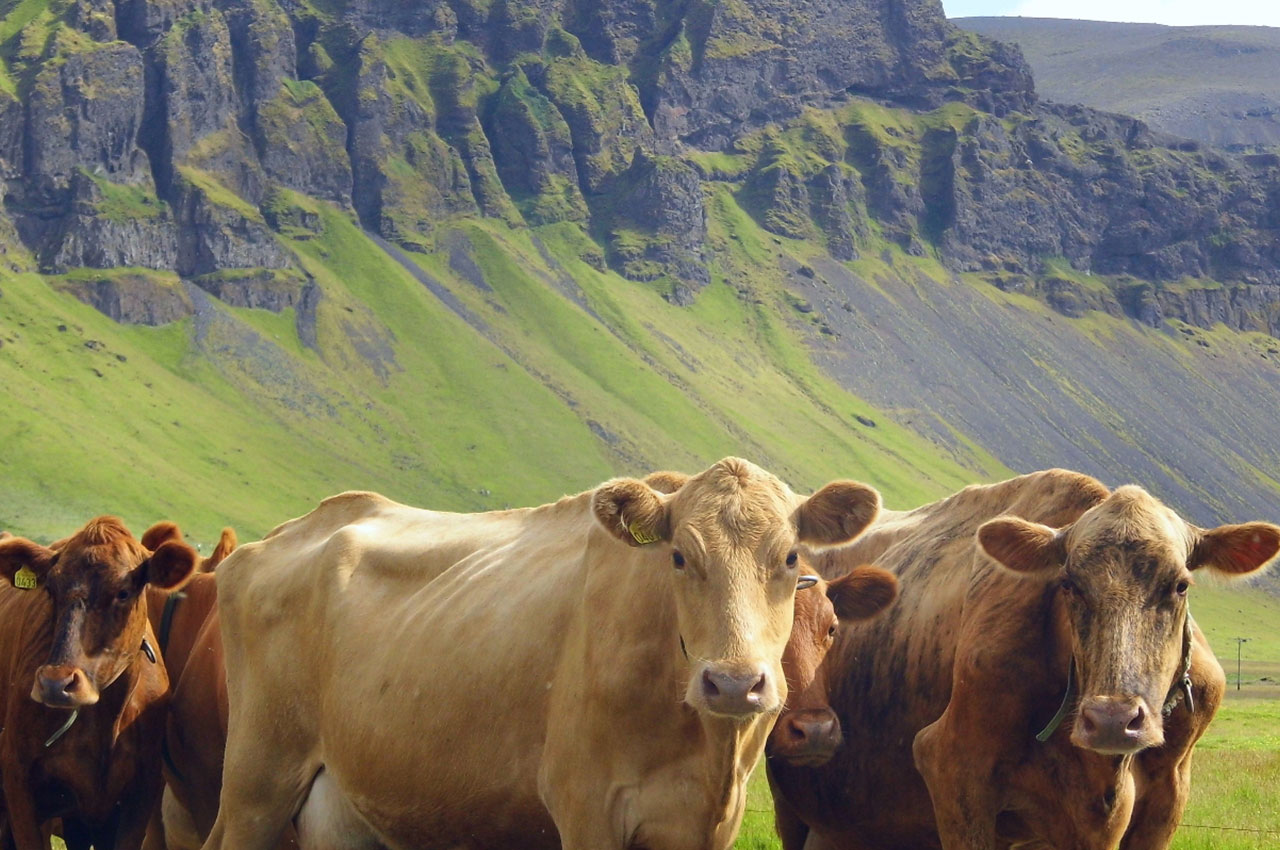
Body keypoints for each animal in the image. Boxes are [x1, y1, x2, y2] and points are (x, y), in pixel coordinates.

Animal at [0, 517, 197, 850]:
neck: (103, 722)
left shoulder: (136, 801)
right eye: (50, 589)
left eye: (123, 592)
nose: (55, 683)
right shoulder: (19, 783)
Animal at [199, 458, 880, 850]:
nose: (735, 684)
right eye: (680, 557)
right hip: (256, 783)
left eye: (789, 557)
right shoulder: (587, 809)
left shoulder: (710, 826)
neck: (708, 750)